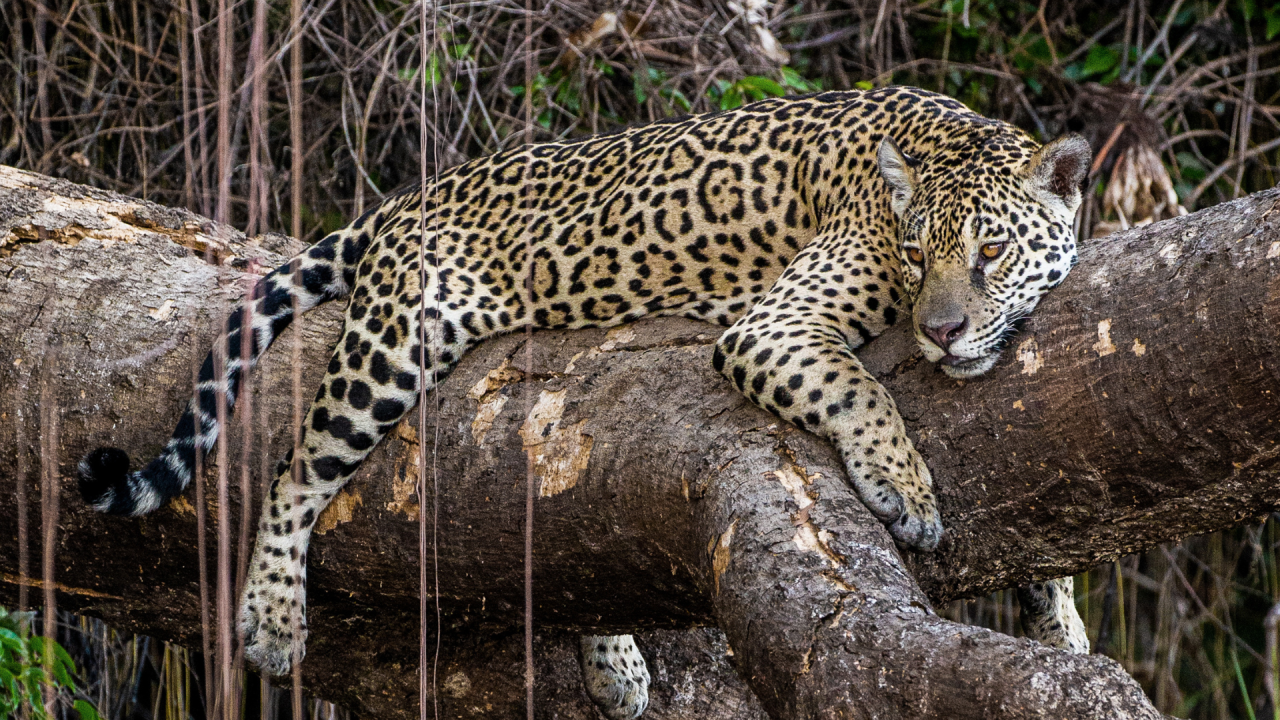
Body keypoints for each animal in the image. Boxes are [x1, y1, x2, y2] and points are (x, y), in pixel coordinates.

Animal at [78, 86, 1092, 720]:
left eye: (991, 251)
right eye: (917, 254)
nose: (944, 331)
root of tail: (407, 198)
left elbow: (1048, 560)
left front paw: (1070, 633)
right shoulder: (771, 326)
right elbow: (861, 387)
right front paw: (905, 489)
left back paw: (616, 665)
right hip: (395, 343)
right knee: (295, 472)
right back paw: (275, 619)